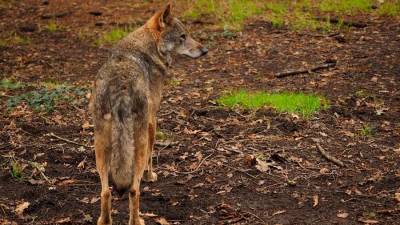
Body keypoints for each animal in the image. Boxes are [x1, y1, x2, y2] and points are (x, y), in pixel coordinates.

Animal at [89, 2, 208, 225]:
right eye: (183, 36)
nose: (205, 50)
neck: (148, 48)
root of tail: (121, 86)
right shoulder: (152, 121)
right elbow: (152, 155)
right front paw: (150, 176)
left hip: (100, 146)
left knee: (105, 192)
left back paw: (104, 220)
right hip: (138, 141)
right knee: (134, 190)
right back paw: (137, 220)